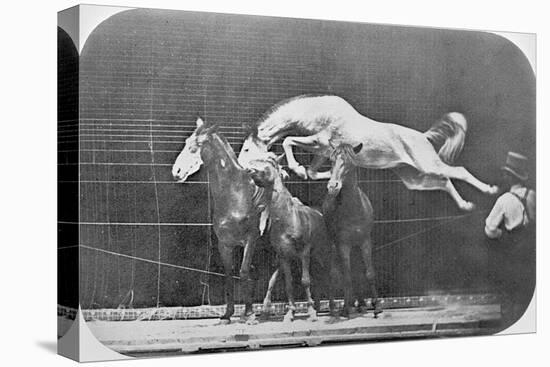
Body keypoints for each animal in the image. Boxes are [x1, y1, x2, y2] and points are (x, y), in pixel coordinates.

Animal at [170, 118, 270, 324]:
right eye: (186, 142)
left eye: (198, 145)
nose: (177, 171)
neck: (236, 194)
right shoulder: (224, 244)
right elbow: (229, 275)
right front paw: (228, 315)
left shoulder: (251, 239)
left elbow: (244, 272)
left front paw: (249, 314)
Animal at [238, 93, 500, 211]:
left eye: (248, 148)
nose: (243, 168)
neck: (319, 112)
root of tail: (424, 136)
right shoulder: (322, 152)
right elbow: (313, 171)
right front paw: (310, 173)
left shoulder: (317, 142)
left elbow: (288, 141)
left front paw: (295, 169)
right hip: (414, 178)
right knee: (444, 181)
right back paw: (465, 205)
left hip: (428, 165)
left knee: (460, 171)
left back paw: (490, 190)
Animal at [248, 157, 334, 324]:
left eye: (269, 164)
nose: (249, 170)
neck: (288, 220)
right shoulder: (284, 256)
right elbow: (288, 283)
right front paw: (290, 314)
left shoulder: (304, 251)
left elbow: (305, 281)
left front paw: (311, 313)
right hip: (312, 258)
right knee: (318, 278)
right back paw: (319, 306)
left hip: (323, 253)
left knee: (329, 274)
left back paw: (331, 309)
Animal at [324, 144, 384, 320]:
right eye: (331, 160)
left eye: (349, 162)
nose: (332, 186)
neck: (354, 211)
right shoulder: (343, 244)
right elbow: (347, 277)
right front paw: (345, 309)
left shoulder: (365, 241)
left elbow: (369, 273)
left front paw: (377, 307)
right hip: (334, 244)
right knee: (334, 272)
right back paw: (335, 307)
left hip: (356, 246)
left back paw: (361, 304)